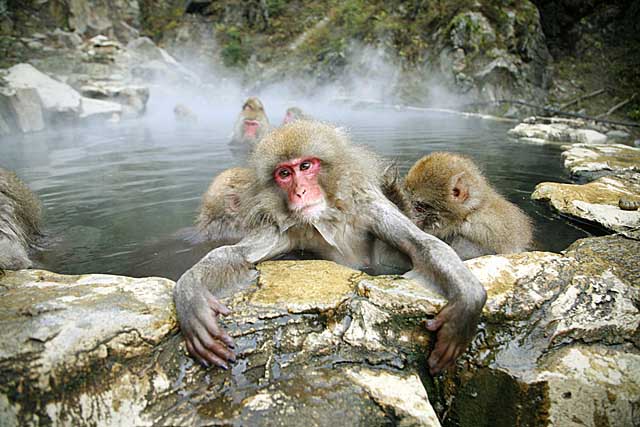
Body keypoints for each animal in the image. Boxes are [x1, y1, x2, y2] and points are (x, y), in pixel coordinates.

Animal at [174, 120, 484, 374]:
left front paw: (468, 298)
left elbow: (420, 243)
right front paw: (190, 292)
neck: (328, 217)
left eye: (305, 166)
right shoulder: (287, 228)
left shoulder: (367, 204)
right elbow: (235, 254)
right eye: (284, 173)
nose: (300, 192)